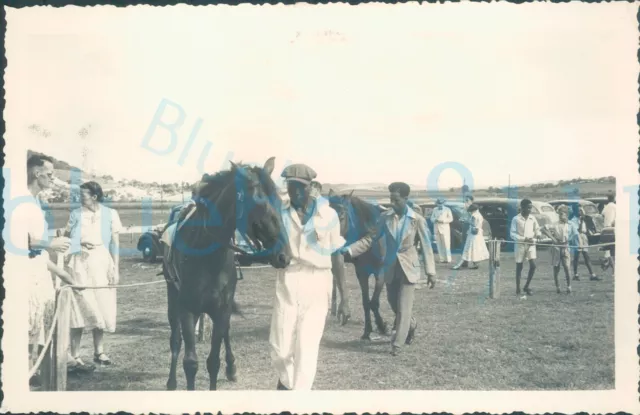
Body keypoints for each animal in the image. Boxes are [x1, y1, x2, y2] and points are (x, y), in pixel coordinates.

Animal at [161, 158, 292, 392]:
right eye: (258, 202)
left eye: (279, 200)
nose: (284, 256)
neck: (207, 254)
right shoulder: (187, 309)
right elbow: (190, 363)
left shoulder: (222, 309)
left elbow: (213, 361)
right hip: (172, 296)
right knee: (175, 338)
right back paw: (171, 381)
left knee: (225, 335)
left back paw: (231, 369)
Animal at [328, 192, 388, 342]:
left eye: (342, 215)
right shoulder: (362, 273)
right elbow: (366, 303)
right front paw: (368, 330)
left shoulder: (380, 273)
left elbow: (373, 302)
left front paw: (382, 327)